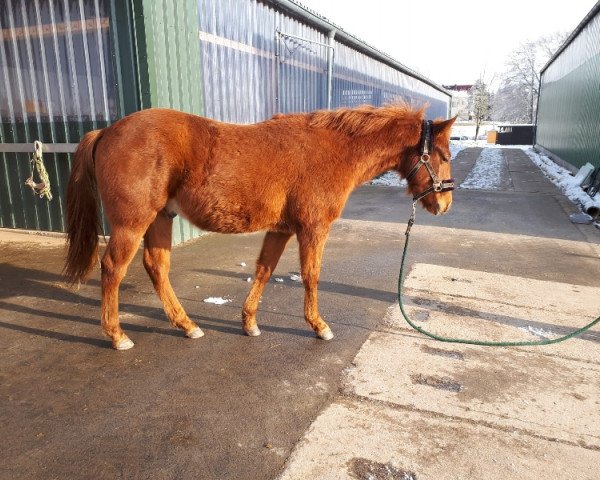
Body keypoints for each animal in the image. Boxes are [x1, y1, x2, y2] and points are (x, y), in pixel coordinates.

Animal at [64, 103, 454, 348]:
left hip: (161, 218)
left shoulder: (281, 229)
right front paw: (319, 326)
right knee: (113, 268)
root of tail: (107, 131)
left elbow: (265, 270)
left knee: (156, 267)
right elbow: (311, 274)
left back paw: (187, 325)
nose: (444, 204)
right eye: (445, 155)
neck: (334, 149)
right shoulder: (313, 228)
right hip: (132, 223)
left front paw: (249, 323)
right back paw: (117, 335)